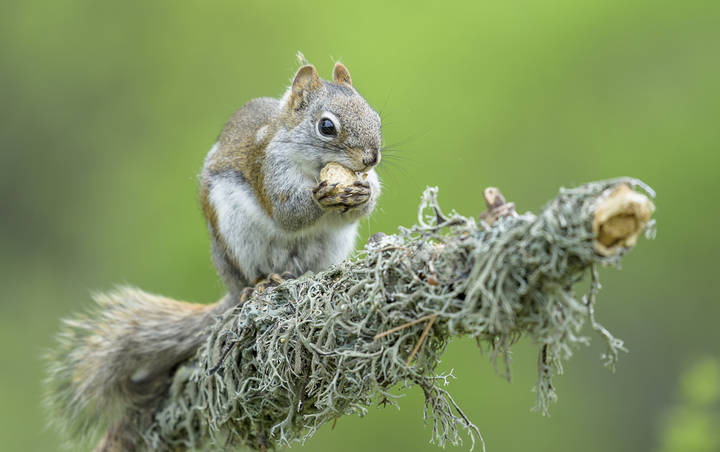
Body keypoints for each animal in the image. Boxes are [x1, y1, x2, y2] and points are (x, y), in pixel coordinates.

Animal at [45, 58, 382, 451]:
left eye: (375, 116)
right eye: (327, 127)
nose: (371, 158)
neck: (308, 162)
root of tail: (231, 289)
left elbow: (359, 205)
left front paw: (363, 193)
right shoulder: (268, 169)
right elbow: (288, 214)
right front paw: (322, 196)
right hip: (236, 237)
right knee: (253, 276)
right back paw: (263, 283)